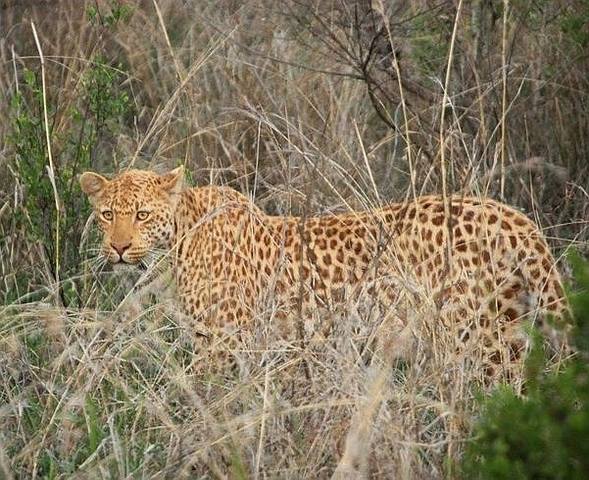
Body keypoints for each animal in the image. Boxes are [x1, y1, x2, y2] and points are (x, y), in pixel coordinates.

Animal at [80, 166, 569, 384]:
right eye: (107, 215)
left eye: (141, 215)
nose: (118, 248)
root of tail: (515, 219)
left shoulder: (221, 344)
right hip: (511, 329)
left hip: (476, 341)